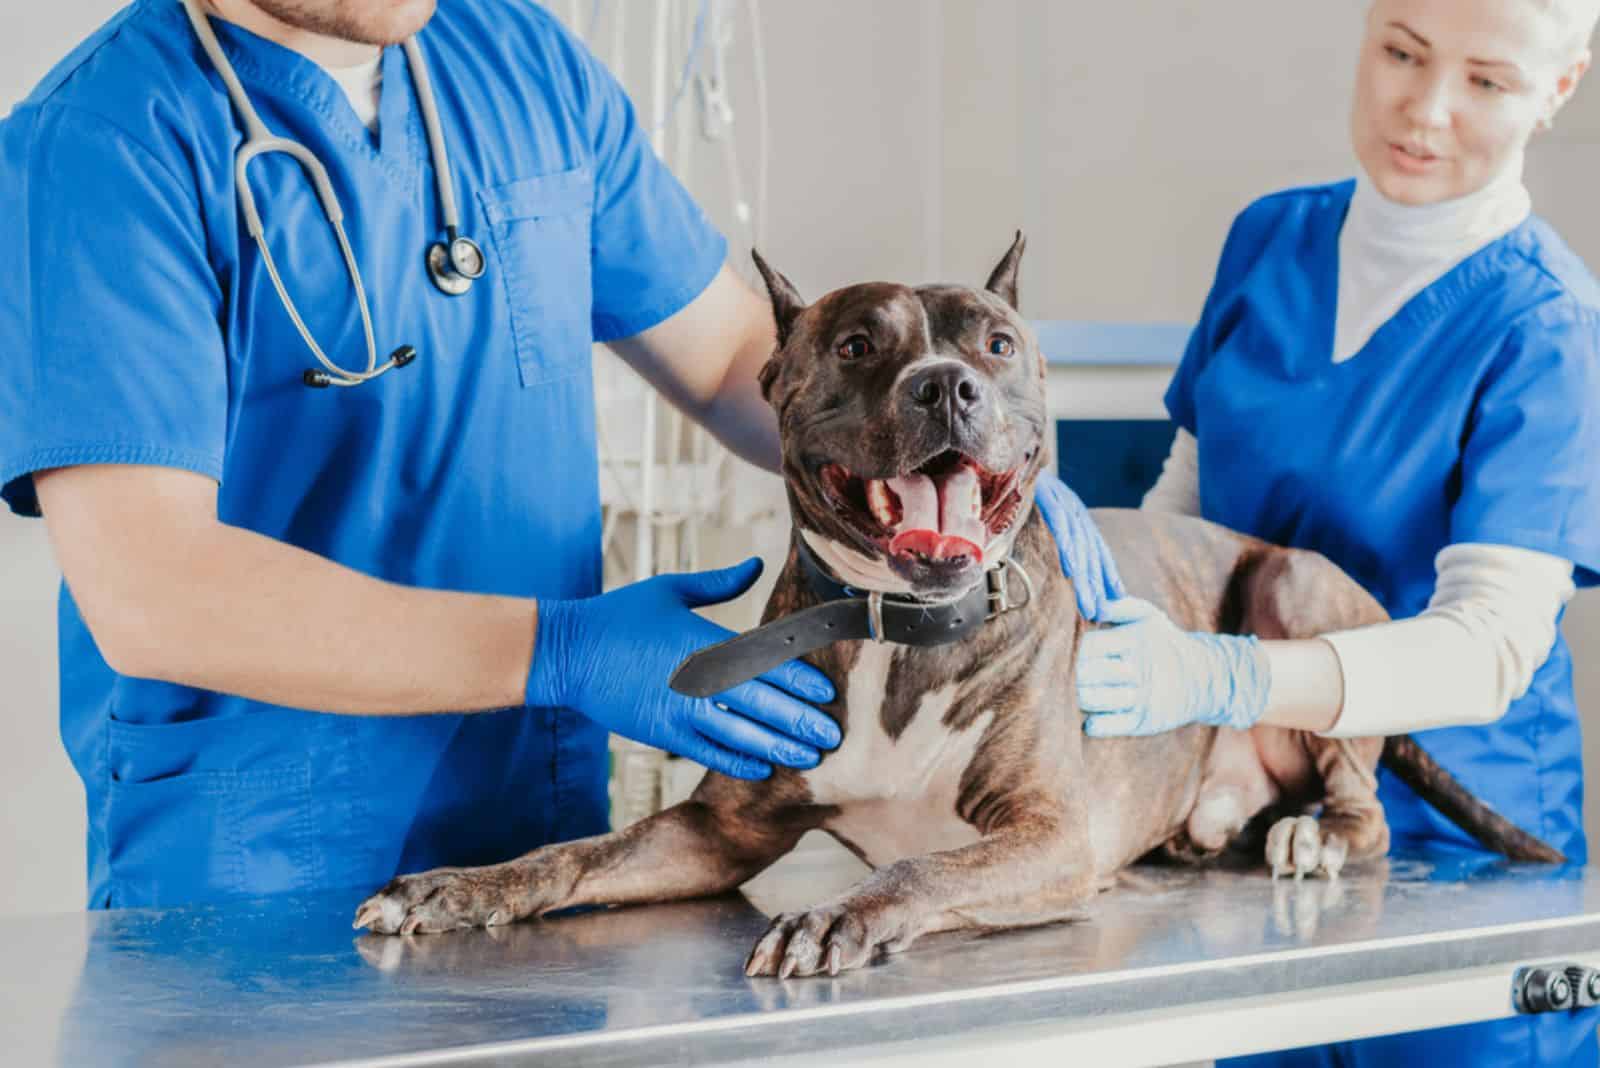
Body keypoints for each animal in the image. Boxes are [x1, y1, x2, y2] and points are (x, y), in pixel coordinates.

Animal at [353, 233, 1561, 978]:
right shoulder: (714, 832)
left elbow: (920, 864)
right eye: (855, 344)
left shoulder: (1051, 837)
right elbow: (568, 856)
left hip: (1293, 583)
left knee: (1362, 794)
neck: (900, 630)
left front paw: (836, 916)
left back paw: (1314, 833)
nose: (947, 385)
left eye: (997, 342)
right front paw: (453, 888)